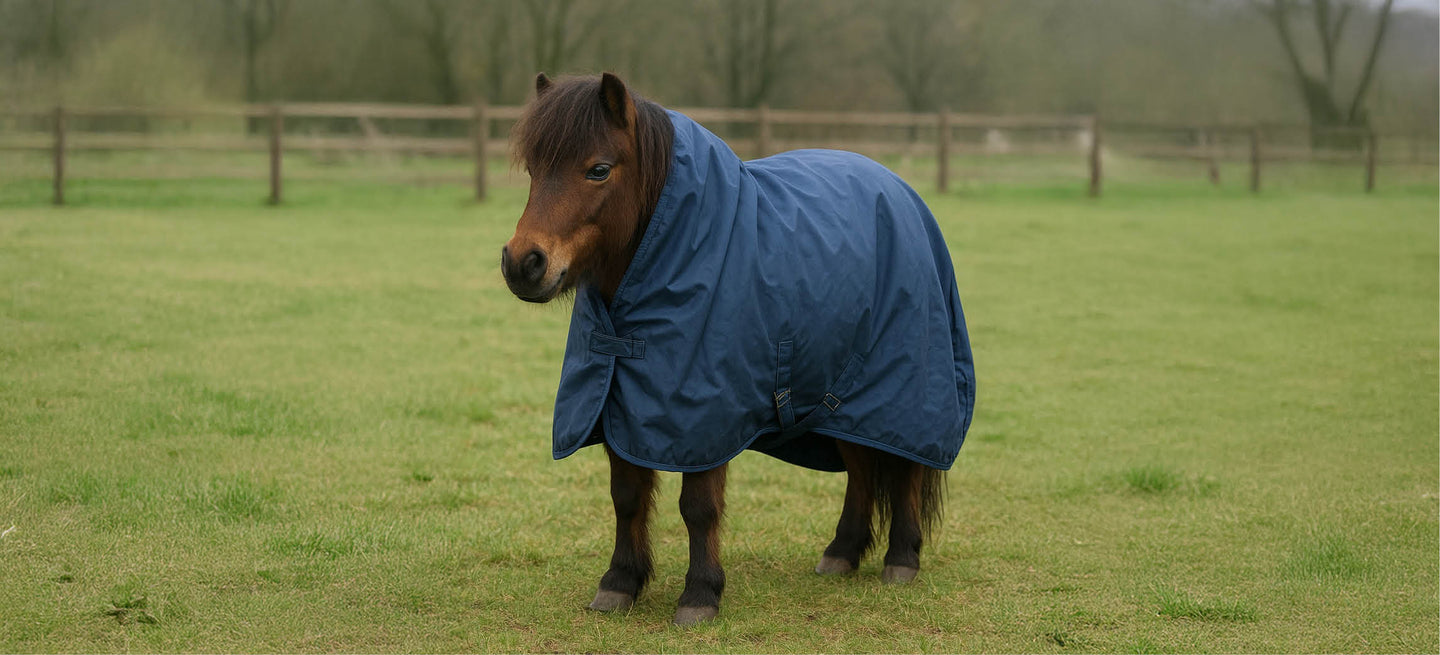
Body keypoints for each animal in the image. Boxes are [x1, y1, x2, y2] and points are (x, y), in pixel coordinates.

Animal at [502, 72, 975, 626]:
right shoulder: (620, 402)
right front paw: (619, 583)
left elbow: (699, 508)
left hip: (906, 393)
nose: (523, 263)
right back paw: (842, 552)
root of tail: (901, 192)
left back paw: (901, 558)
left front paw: (700, 594)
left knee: (905, 469)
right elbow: (626, 496)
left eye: (598, 169)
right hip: (842, 399)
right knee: (861, 467)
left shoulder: (705, 417)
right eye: (533, 169)